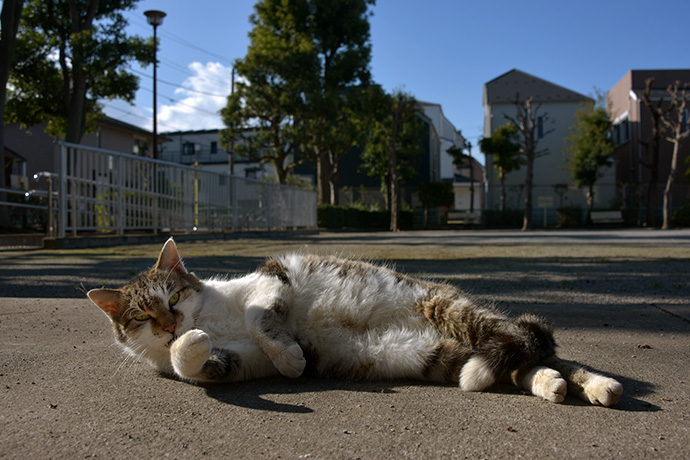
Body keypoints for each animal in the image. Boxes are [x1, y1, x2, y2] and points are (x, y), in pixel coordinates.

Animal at [87, 237, 624, 406]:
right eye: (141, 315)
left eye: (174, 294)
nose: (171, 322)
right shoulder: (238, 364)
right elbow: (191, 363)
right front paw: (189, 344)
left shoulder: (271, 278)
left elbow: (262, 318)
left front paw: (291, 357)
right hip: (440, 355)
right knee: (517, 363)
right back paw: (551, 384)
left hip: (455, 314)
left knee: (528, 342)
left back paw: (598, 384)